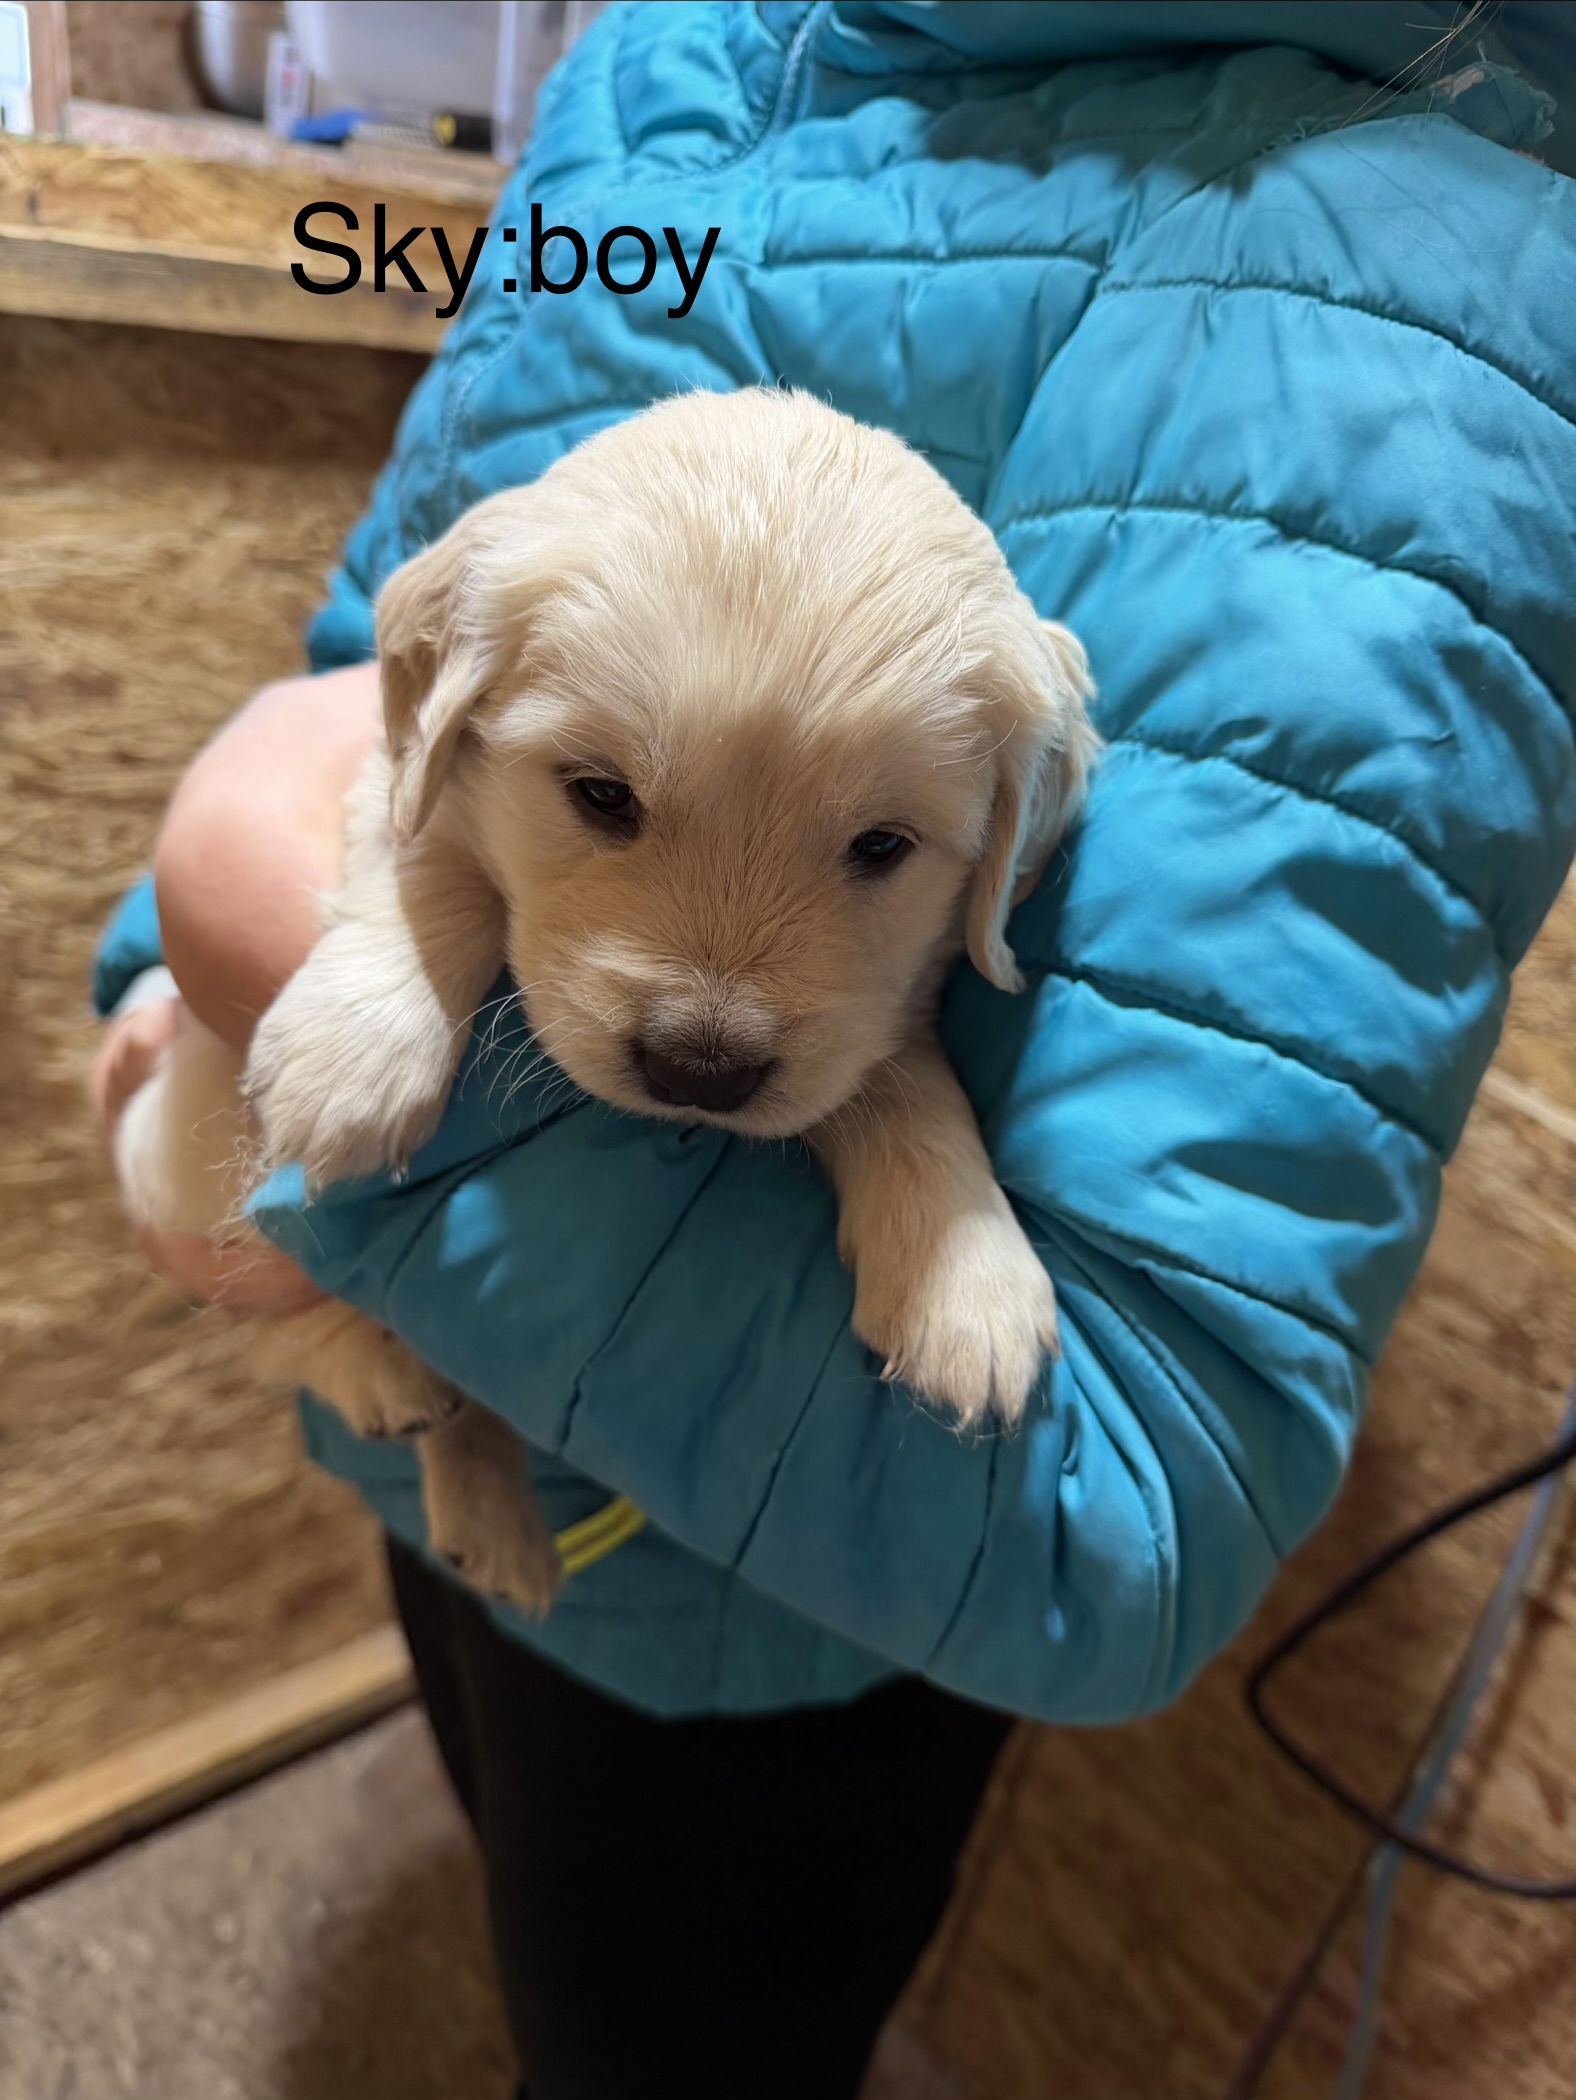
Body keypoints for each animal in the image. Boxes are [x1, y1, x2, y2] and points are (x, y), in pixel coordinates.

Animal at [114, 388, 1100, 1614]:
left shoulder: (876, 1006)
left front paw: (965, 1273)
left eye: (882, 845)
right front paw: (357, 1052)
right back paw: (387, 1377)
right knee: (282, 1309)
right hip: (172, 1143)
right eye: (600, 795)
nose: (699, 1070)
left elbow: (896, 1076)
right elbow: (431, 856)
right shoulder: (395, 771)